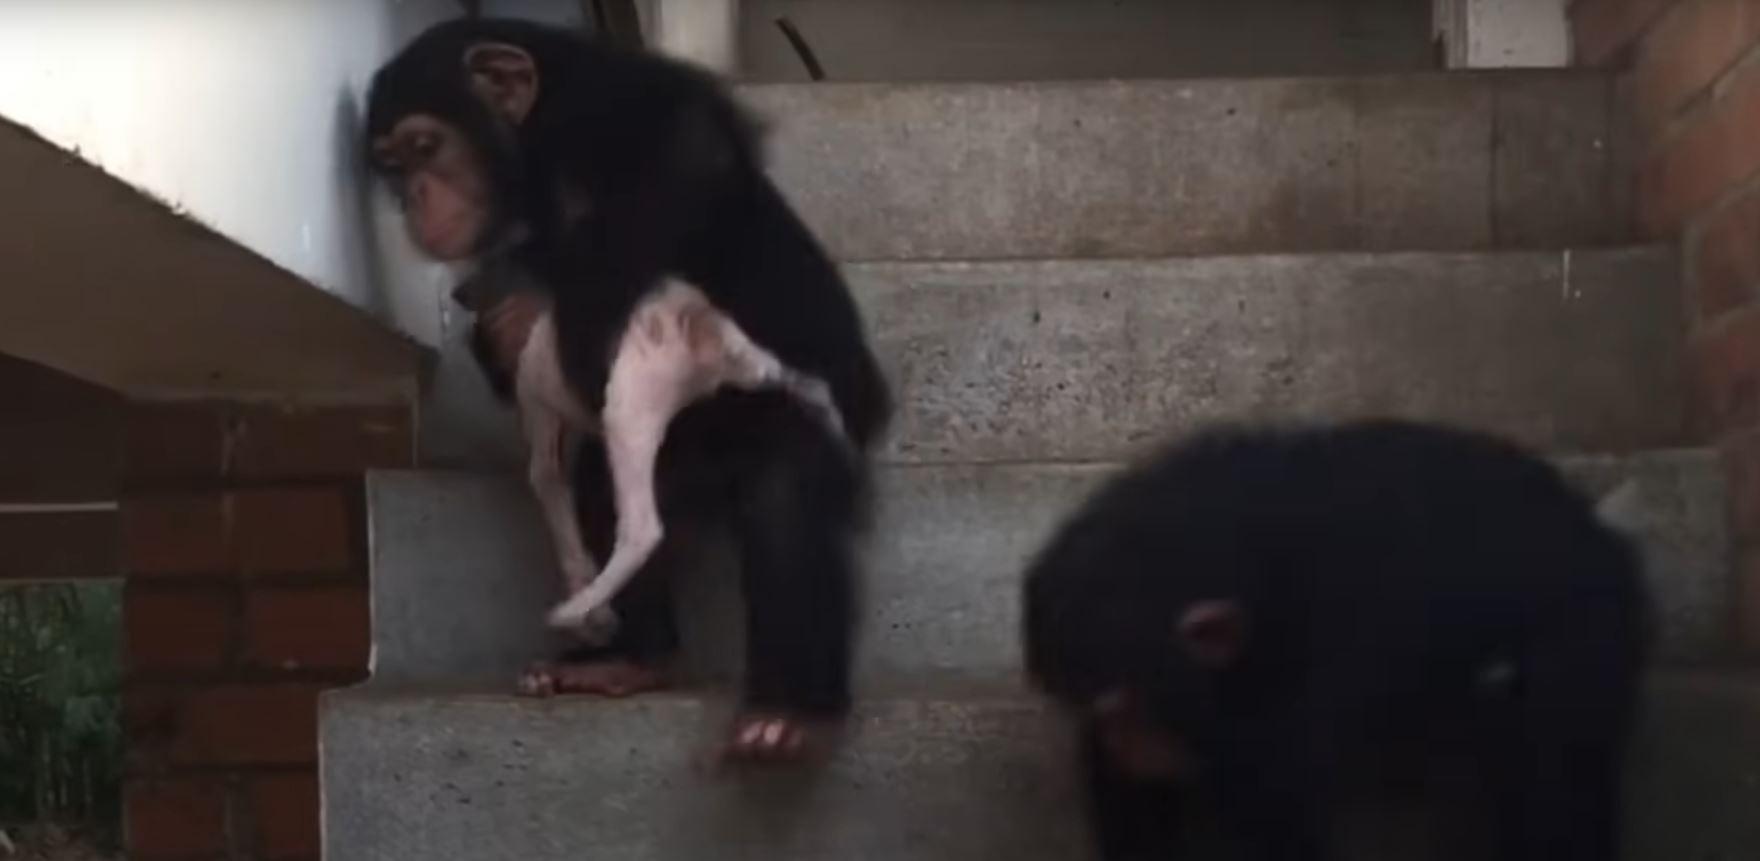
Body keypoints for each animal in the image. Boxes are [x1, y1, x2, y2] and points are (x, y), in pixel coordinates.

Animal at [362, 18, 887, 757]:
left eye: (424, 147)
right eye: (392, 164)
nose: (413, 197)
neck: (532, 147)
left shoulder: (607, 108)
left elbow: (686, 152)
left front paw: (561, 317)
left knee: (782, 491)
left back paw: (789, 712)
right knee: (607, 490)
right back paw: (630, 658)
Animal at [1027, 420, 1654, 859]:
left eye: (1129, 708)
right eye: (1098, 707)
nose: (1125, 739)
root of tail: (1604, 537)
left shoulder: (1328, 660)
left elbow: (1274, 807)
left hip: (1590, 631)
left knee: (1553, 771)